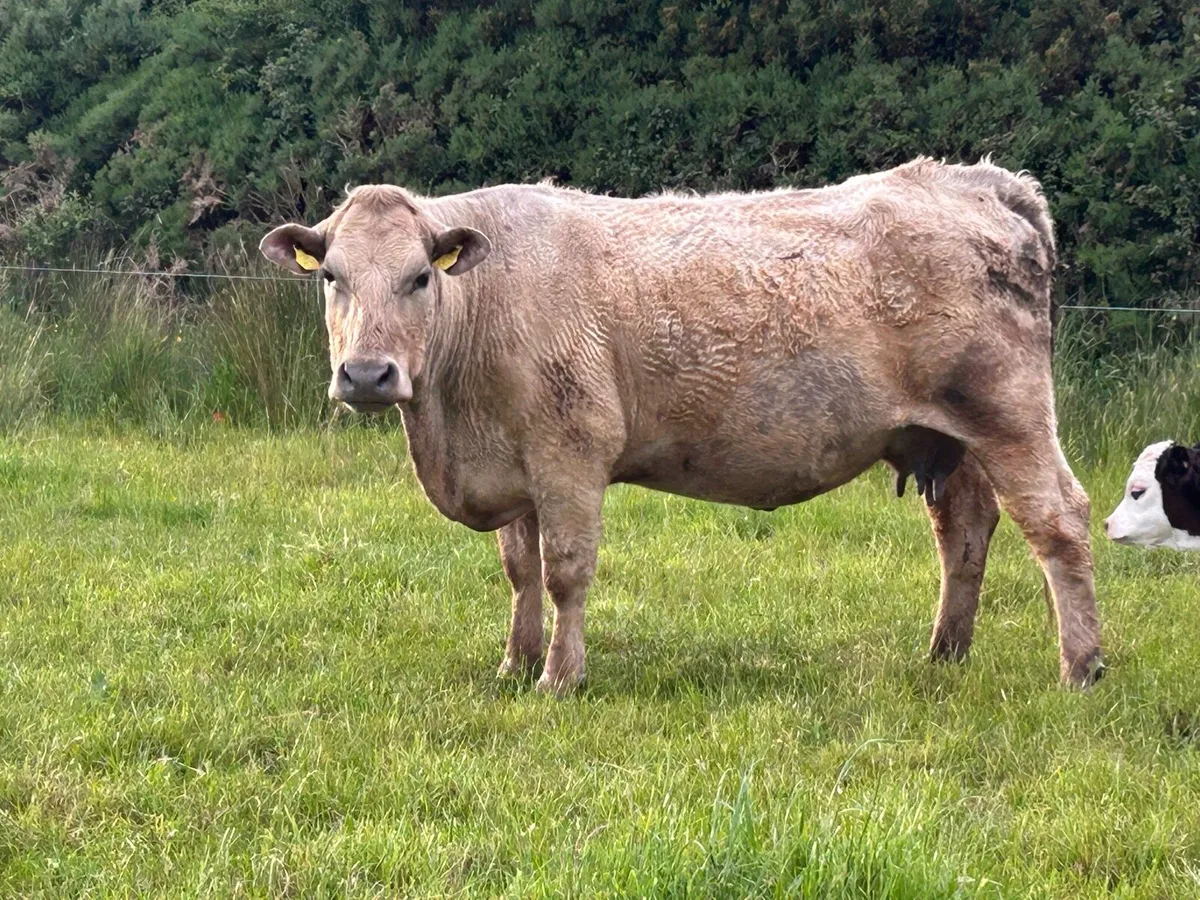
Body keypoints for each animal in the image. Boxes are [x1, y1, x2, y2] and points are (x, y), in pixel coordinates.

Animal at [260, 157, 1103, 695]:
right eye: (331, 277)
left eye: (419, 277)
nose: (367, 375)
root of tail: (979, 180)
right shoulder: (512, 462)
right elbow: (520, 571)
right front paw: (514, 663)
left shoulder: (570, 454)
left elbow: (566, 570)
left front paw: (559, 678)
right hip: (950, 438)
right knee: (965, 533)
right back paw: (944, 656)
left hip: (1009, 414)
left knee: (1058, 522)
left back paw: (1081, 667)